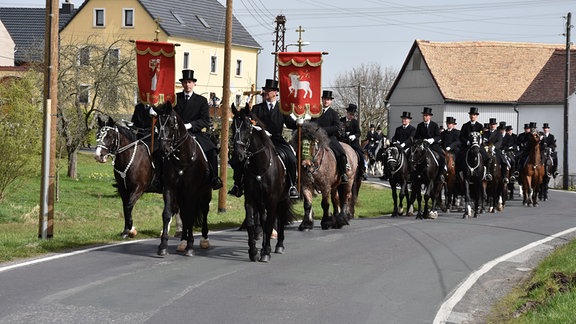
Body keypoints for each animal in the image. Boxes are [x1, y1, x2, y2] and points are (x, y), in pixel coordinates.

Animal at [154, 102, 213, 256]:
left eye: (171, 124)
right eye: (157, 125)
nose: (163, 150)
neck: (181, 159)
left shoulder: (191, 190)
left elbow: (190, 215)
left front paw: (190, 246)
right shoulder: (169, 188)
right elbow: (167, 213)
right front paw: (163, 245)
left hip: (205, 192)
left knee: (204, 211)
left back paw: (204, 239)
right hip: (181, 194)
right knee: (183, 213)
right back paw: (183, 241)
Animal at [231, 104, 294, 264]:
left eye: (248, 126)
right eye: (233, 126)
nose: (238, 155)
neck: (259, 167)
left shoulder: (272, 200)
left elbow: (271, 223)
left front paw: (265, 252)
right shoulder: (250, 199)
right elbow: (251, 223)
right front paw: (253, 251)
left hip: (283, 199)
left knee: (280, 218)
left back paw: (279, 245)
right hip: (261, 201)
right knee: (264, 220)